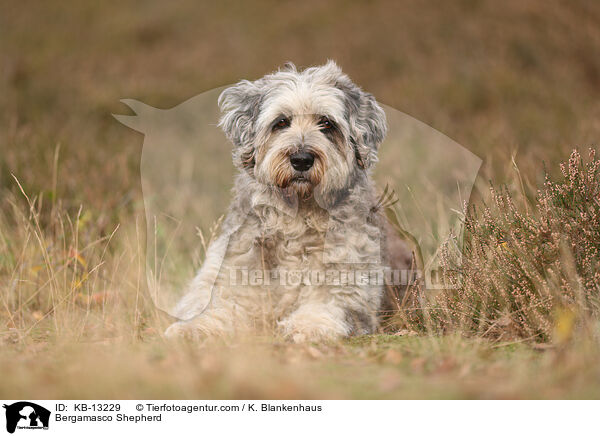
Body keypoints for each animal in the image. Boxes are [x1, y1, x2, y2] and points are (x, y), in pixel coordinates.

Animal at [164, 60, 408, 340]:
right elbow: (222, 310)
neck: (298, 216)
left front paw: (306, 327)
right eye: (281, 122)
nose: (301, 159)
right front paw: (193, 328)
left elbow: (326, 306)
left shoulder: (350, 286)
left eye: (327, 124)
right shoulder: (237, 277)